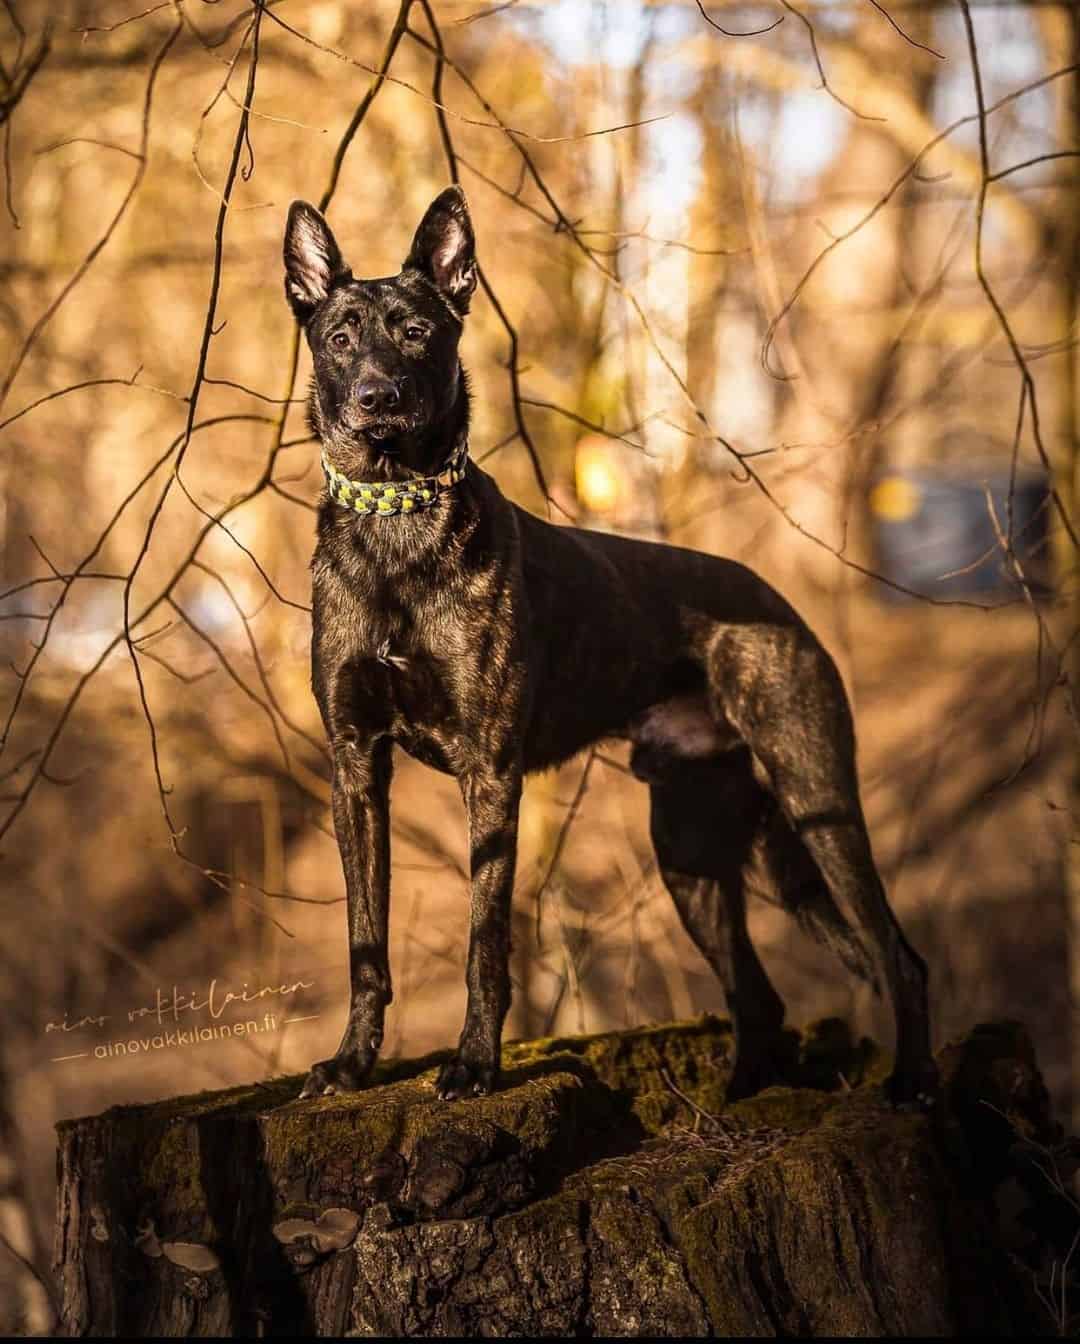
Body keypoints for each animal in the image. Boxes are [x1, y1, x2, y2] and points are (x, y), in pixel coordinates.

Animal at [284, 192, 934, 1112]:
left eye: (416, 331)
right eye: (340, 337)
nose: (377, 399)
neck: (395, 524)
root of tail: (781, 605)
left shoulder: (491, 774)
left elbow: (486, 941)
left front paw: (475, 1067)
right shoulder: (355, 766)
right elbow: (364, 942)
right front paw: (352, 1064)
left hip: (815, 801)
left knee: (897, 957)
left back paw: (911, 1085)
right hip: (693, 848)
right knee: (758, 996)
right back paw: (737, 1097)